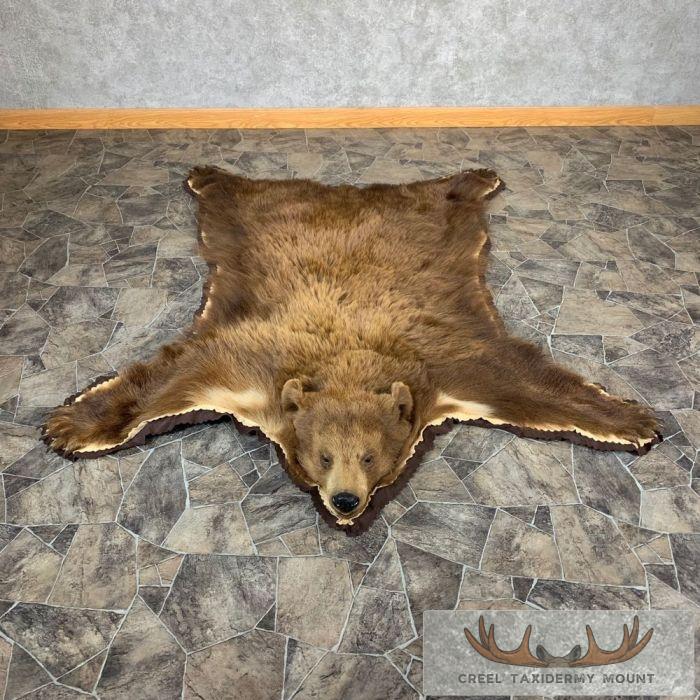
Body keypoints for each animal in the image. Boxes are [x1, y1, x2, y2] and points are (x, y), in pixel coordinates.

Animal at [44, 166, 661, 526]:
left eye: (369, 456)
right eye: (323, 456)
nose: (346, 502)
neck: (346, 360)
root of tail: (344, 191)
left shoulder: (450, 359)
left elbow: (526, 381)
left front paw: (632, 421)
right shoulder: (250, 357)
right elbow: (174, 375)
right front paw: (69, 424)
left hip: (437, 214)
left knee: (447, 191)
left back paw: (477, 176)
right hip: (249, 211)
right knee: (233, 189)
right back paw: (205, 173)